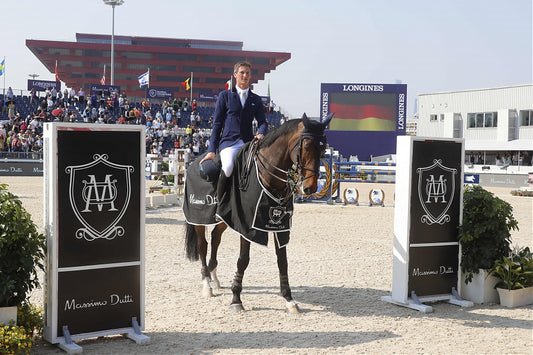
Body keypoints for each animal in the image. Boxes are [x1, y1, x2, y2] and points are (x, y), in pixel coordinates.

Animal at [184, 112, 332, 312]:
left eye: (323, 148)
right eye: (307, 146)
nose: (310, 188)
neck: (268, 176)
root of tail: (193, 163)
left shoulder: (280, 226)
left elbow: (282, 261)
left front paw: (289, 300)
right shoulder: (246, 226)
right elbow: (243, 260)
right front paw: (236, 299)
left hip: (225, 219)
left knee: (215, 238)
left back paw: (215, 278)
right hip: (199, 219)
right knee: (203, 245)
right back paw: (207, 285)